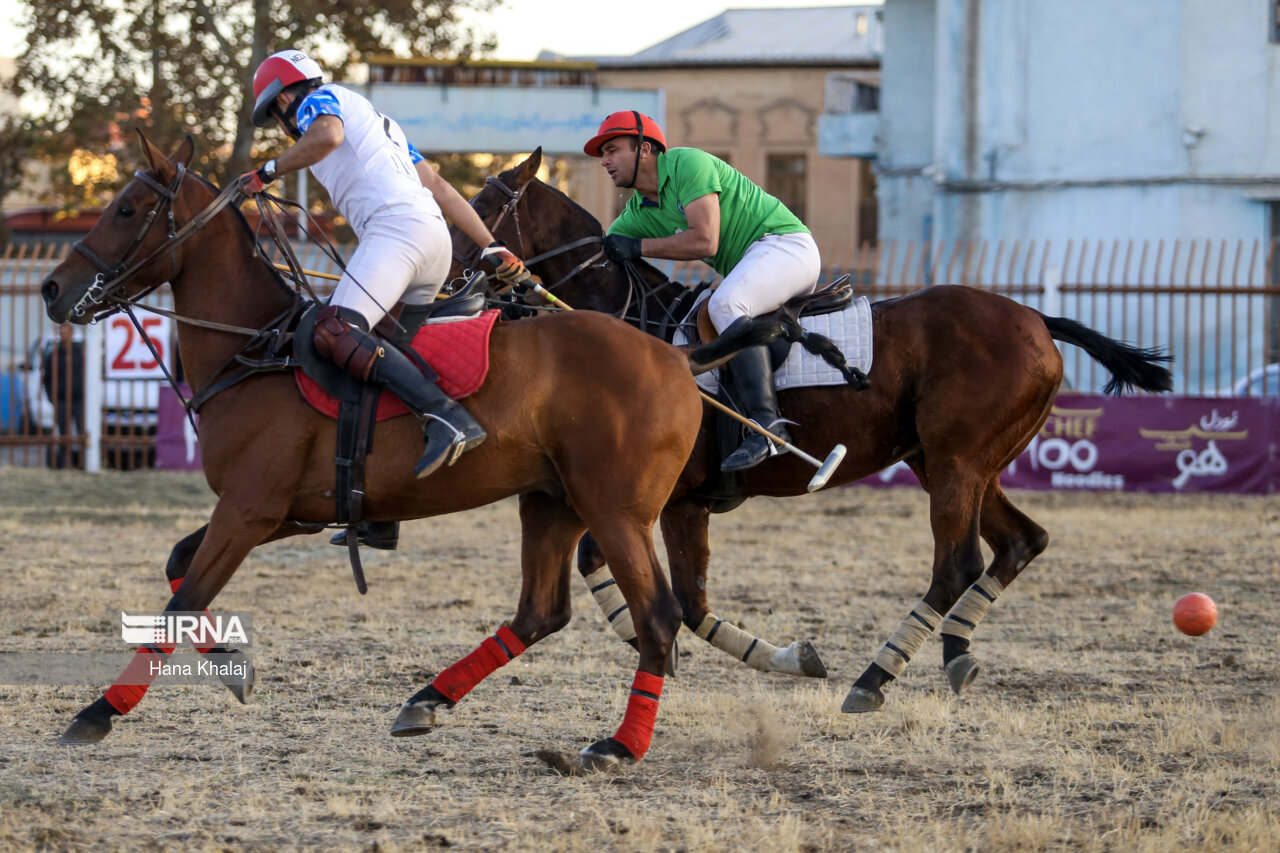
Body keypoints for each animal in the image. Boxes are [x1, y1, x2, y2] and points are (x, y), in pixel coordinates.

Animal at [40, 131, 793, 763]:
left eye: (128, 208)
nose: (51, 288)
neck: (252, 347)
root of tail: (680, 357)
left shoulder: (251, 508)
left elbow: (179, 602)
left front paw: (98, 712)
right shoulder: (287, 511)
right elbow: (179, 569)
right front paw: (232, 667)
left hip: (617, 510)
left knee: (659, 617)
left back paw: (617, 745)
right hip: (553, 500)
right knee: (542, 611)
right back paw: (426, 701)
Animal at [450, 147, 1172, 712]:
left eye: (481, 202)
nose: (453, 277)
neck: (633, 321)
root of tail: (1039, 320)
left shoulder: (672, 497)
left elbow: (674, 596)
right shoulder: (673, 500)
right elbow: (670, 594)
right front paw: (767, 655)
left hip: (957, 459)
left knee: (957, 563)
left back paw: (874, 677)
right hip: (955, 459)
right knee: (1022, 541)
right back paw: (956, 653)